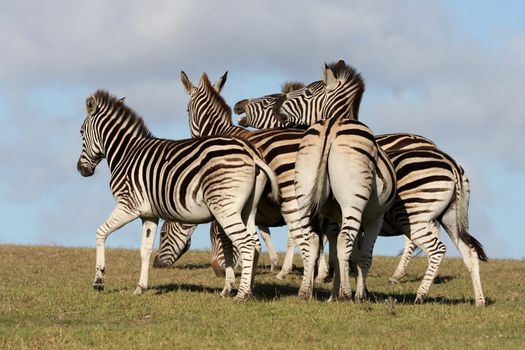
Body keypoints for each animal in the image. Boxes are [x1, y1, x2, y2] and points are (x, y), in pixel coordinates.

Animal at [77, 89, 278, 300]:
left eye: (81, 132)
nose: (81, 170)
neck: (126, 153)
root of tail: (251, 153)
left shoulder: (128, 205)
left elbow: (101, 232)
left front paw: (99, 281)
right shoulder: (149, 215)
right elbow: (145, 250)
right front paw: (140, 288)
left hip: (225, 209)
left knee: (246, 244)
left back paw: (241, 295)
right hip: (247, 210)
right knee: (255, 245)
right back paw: (246, 290)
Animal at [235, 59, 486, 304]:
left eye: (270, 99)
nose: (238, 105)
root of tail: (450, 162)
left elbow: (342, 251)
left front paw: (337, 287)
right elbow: (344, 252)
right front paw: (338, 288)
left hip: (412, 214)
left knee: (429, 247)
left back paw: (412, 290)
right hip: (449, 216)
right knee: (468, 251)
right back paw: (478, 299)